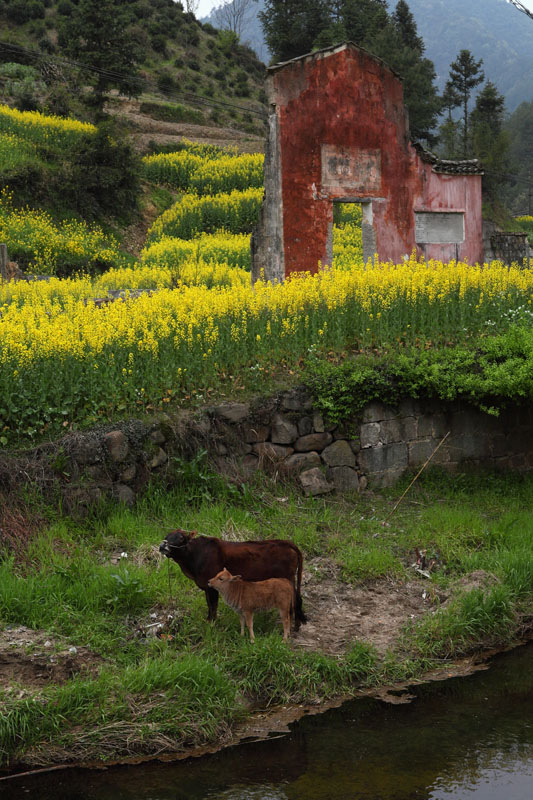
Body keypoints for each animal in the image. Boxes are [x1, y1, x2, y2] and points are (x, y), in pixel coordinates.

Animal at [158, 528, 306, 628]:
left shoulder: (212, 587)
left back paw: (296, 624)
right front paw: (208, 620)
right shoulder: (206, 586)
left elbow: (213, 605)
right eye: (167, 536)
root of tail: (286, 543)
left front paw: (212, 623)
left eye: (181, 538)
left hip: (288, 578)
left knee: (296, 598)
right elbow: (209, 604)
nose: (162, 545)